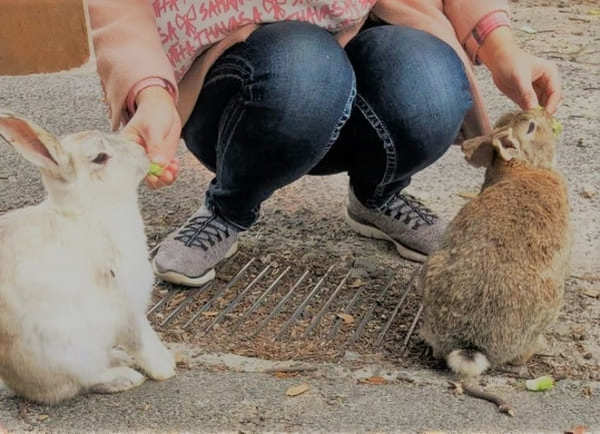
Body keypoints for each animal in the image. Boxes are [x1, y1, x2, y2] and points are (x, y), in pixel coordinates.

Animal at [0, 111, 175, 404]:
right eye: (100, 157)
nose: (142, 153)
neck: (88, 210)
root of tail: (18, 385)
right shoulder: (125, 303)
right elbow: (142, 339)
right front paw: (166, 368)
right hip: (70, 351)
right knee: (83, 381)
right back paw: (124, 377)